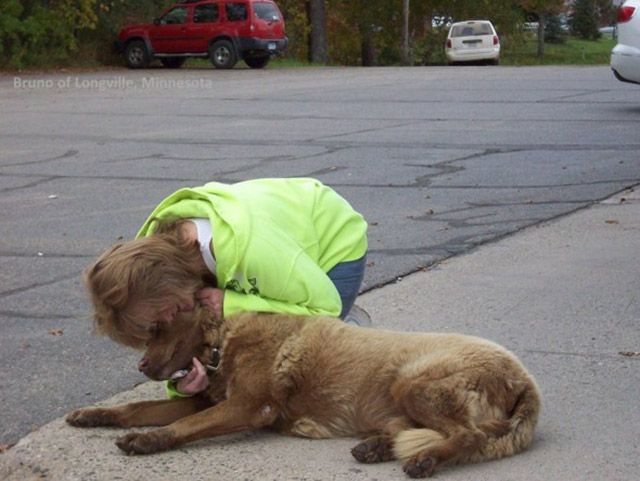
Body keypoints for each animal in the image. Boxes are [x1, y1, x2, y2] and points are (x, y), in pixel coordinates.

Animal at [67, 308, 540, 476]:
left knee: (467, 436)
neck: (224, 341)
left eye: (161, 330)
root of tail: (526, 381)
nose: (142, 366)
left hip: (415, 382)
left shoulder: (247, 406)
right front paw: (93, 416)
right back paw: (374, 448)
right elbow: (135, 407)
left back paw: (424, 461)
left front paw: (146, 441)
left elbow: (185, 426)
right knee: (412, 429)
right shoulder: (205, 399)